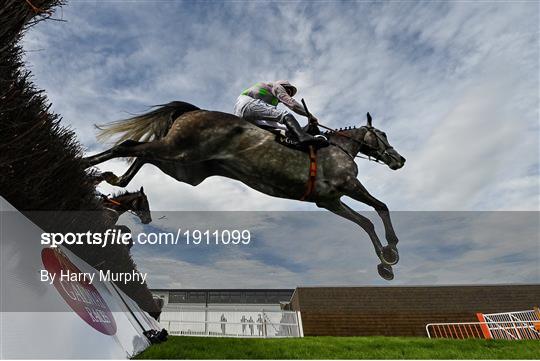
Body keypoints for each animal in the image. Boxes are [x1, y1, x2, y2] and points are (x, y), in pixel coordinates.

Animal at [84, 101, 404, 278]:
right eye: (383, 134)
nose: (399, 160)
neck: (340, 148)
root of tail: (194, 111)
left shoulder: (330, 201)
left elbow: (364, 223)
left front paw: (386, 262)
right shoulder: (348, 184)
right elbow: (381, 207)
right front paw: (392, 247)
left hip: (185, 166)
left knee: (142, 155)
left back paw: (109, 177)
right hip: (180, 150)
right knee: (129, 146)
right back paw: (85, 167)